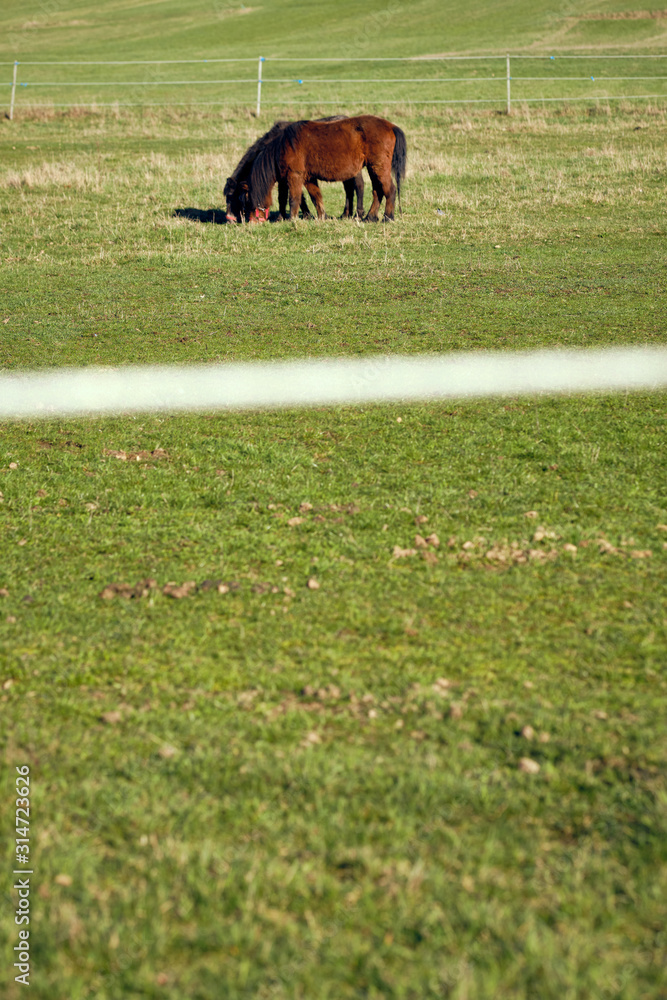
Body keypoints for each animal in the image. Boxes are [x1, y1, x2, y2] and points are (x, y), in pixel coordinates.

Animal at [224, 117, 364, 223]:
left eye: (234, 197)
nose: (230, 221)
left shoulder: (294, 175)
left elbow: (296, 197)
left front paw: (301, 216)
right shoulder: (284, 178)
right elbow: (284, 197)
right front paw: (283, 217)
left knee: (359, 186)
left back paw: (357, 214)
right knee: (349, 190)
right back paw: (346, 214)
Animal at [248, 115, 406, 223]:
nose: (249, 221)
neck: (285, 144)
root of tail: (391, 126)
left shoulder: (295, 175)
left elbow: (294, 199)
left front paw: (292, 219)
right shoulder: (308, 178)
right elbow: (315, 197)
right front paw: (321, 217)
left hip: (379, 167)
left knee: (390, 189)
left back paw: (387, 217)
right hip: (373, 168)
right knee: (377, 191)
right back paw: (370, 217)